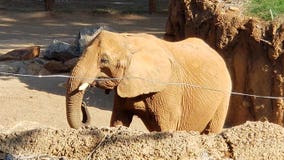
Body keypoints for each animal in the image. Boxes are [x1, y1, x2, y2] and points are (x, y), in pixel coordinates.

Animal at [65, 29, 232, 132]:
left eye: (104, 60)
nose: (84, 104)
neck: (129, 40)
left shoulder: (169, 89)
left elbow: (166, 126)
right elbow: (119, 120)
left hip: (224, 94)